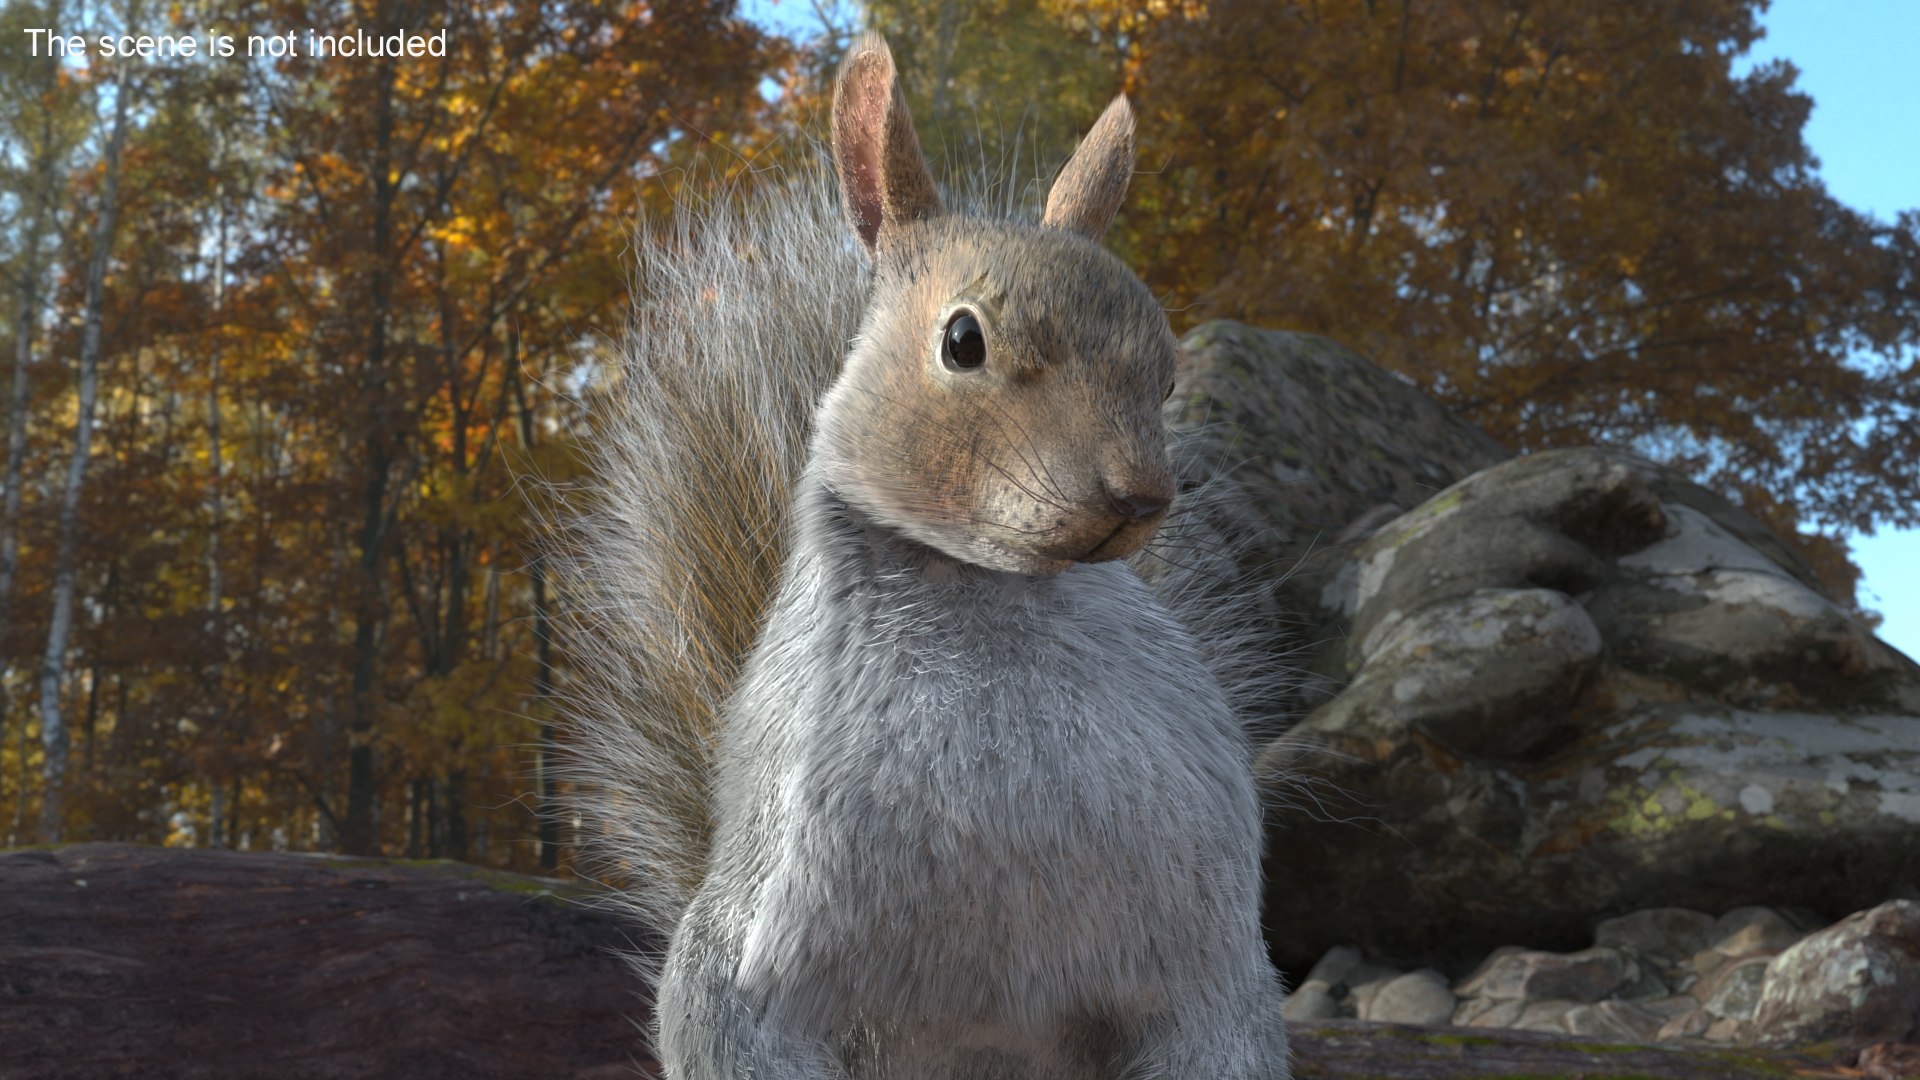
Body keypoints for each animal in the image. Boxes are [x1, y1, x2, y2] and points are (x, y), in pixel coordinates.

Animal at [559, 33, 1292, 1080]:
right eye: (962, 340)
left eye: (1164, 367)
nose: (1141, 494)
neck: (999, 595)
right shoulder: (765, 931)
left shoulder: (1210, 964)